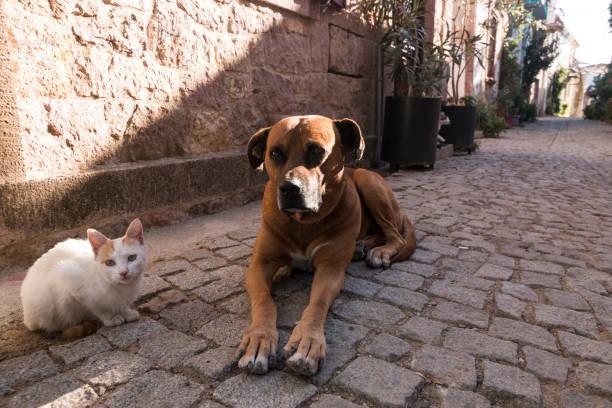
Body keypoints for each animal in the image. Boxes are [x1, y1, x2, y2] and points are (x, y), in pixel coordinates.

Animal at [237, 115, 418, 376]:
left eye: (317, 151)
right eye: (275, 154)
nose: (289, 188)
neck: (303, 222)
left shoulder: (330, 269)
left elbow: (318, 302)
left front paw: (307, 341)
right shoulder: (259, 266)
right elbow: (264, 300)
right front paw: (259, 338)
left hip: (368, 181)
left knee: (395, 235)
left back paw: (379, 251)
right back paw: (360, 246)